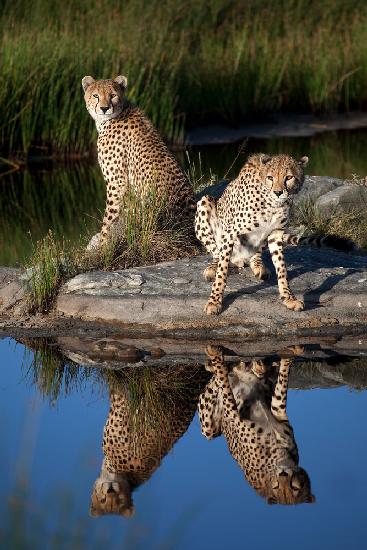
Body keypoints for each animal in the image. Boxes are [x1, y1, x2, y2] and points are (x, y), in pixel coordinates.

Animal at [82, 75, 194, 248]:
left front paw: (103, 245)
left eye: (113, 95)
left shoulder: (117, 182)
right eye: (96, 95)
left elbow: (109, 218)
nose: (104, 108)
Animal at [198, 348, 316, 506]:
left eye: (294, 487)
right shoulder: (232, 414)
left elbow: (282, 385)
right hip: (208, 430)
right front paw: (216, 356)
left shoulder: (276, 408)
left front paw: (287, 357)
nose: (283, 474)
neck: (279, 454)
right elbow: (223, 382)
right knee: (220, 378)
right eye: (276, 486)